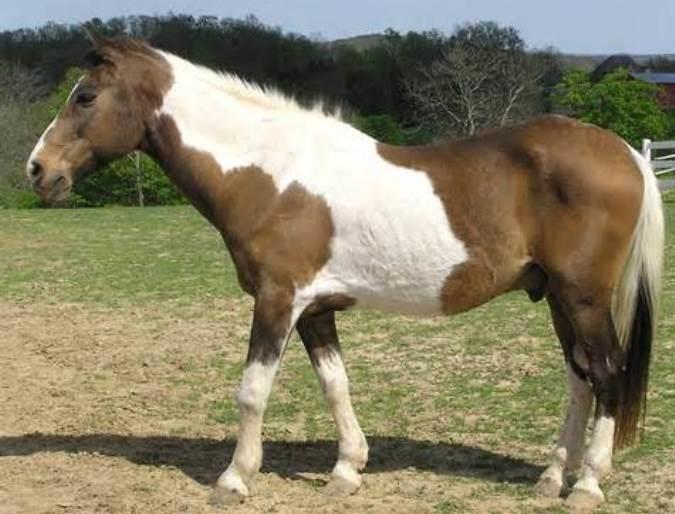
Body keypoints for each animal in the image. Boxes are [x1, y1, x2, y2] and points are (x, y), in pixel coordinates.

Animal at [27, 34, 663, 510]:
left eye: (85, 97)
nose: (38, 170)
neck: (271, 173)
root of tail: (627, 154)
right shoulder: (315, 308)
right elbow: (336, 384)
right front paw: (347, 471)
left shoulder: (277, 299)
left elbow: (252, 390)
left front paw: (234, 478)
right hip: (556, 297)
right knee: (579, 379)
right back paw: (551, 478)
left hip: (583, 297)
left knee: (606, 374)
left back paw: (587, 484)